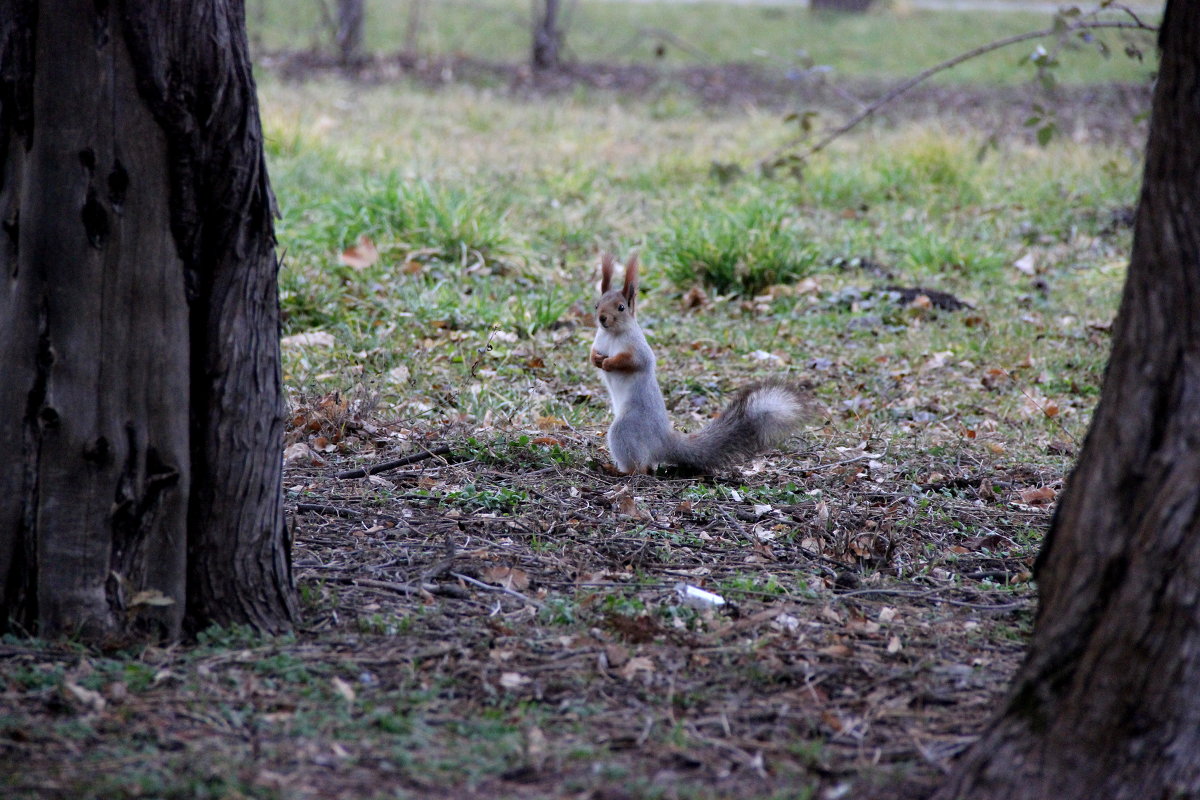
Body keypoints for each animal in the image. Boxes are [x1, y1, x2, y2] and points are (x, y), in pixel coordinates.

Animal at [588, 251, 811, 474]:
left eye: (621, 307)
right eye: (597, 305)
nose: (602, 318)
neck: (611, 334)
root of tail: (663, 441)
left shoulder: (639, 349)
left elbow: (633, 362)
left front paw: (608, 364)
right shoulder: (599, 341)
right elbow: (592, 353)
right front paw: (596, 359)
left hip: (626, 429)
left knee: (640, 468)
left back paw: (617, 469)